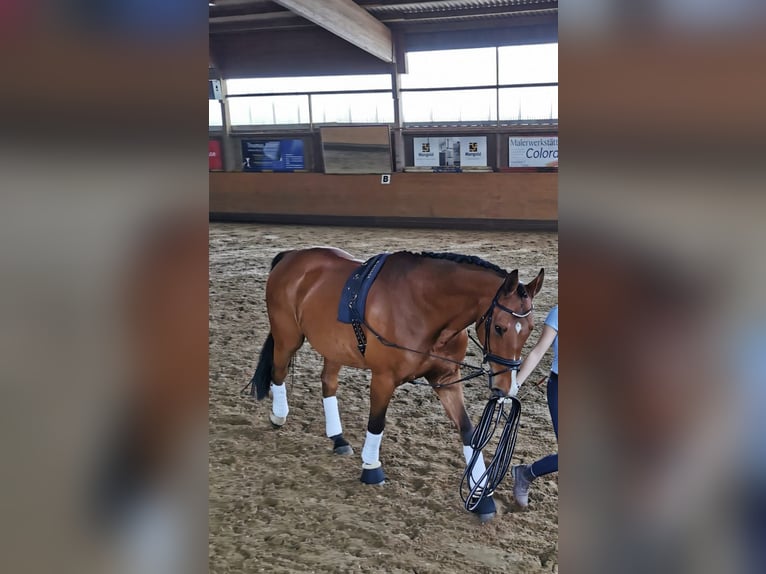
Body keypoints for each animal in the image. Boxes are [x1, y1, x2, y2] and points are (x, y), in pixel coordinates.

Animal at [248, 247, 544, 521]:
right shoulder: (384, 378)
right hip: (287, 337)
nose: (507, 386)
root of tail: (291, 256)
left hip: (334, 348)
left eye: (530, 329)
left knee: (327, 383)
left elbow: (469, 432)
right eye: (500, 328)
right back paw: (278, 415)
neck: (425, 309)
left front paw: (480, 496)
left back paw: (338, 438)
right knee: (278, 372)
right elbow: (377, 423)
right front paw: (371, 469)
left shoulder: (446, 380)